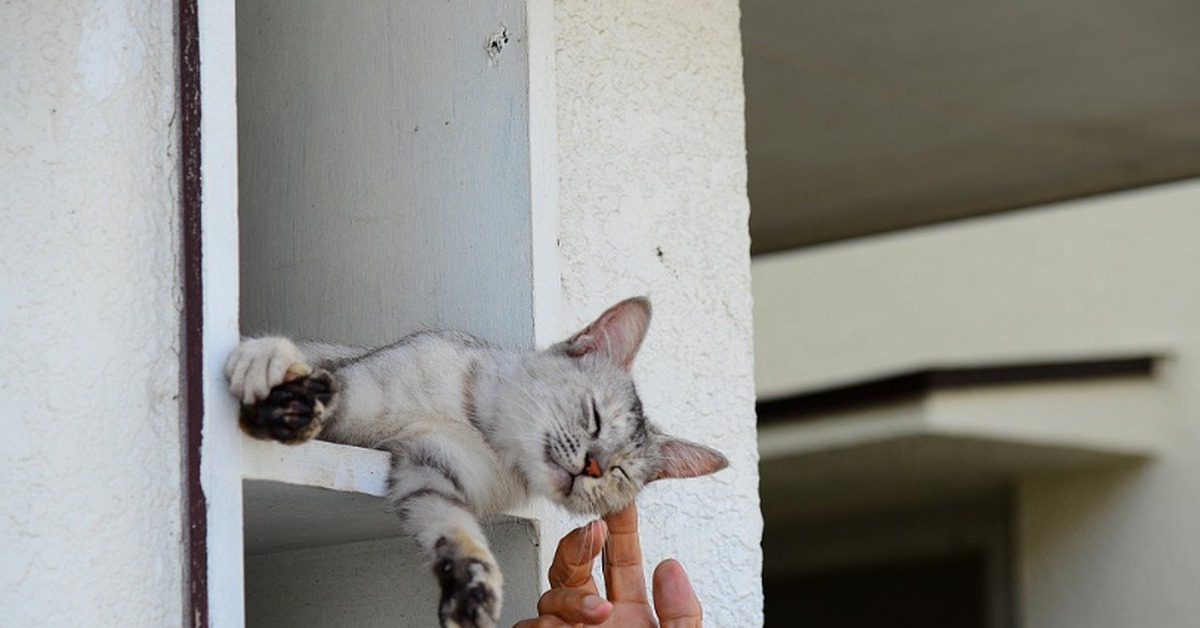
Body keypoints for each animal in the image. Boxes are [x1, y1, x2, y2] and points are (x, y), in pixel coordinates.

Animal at [225, 297, 729, 624]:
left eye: (621, 472)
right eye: (595, 418)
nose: (593, 468)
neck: (473, 424)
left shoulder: (430, 469)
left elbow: (452, 530)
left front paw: (473, 589)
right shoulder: (360, 387)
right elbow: (326, 378)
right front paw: (279, 388)